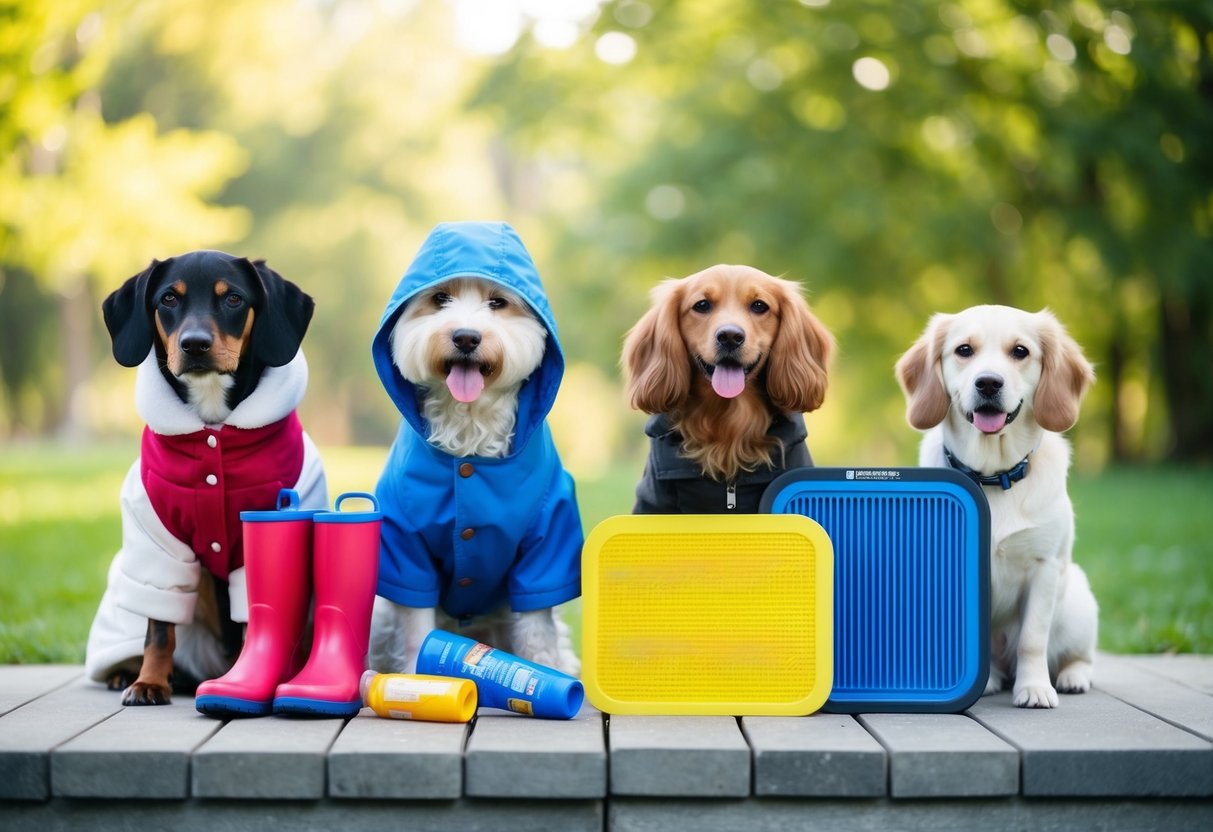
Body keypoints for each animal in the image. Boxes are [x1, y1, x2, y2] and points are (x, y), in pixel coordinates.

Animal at [86, 251, 327, 708]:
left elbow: (257, 623)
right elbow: (159, 630)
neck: (214, 427)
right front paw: (149, 682)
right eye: (168, 298)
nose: (194, 344)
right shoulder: (157, 543)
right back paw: (130, 673)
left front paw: (251, 677)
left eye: (233, 298)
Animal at [892, 306, 1101, 708]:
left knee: (1078, 656)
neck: (992, 476)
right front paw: (981, 679)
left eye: (1020, 351)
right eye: (964, 350)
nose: (988, 383)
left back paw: (1073, 677)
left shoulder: (1044, 567)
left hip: (1076, 603)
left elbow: (1032, 640)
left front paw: (1034, 688)